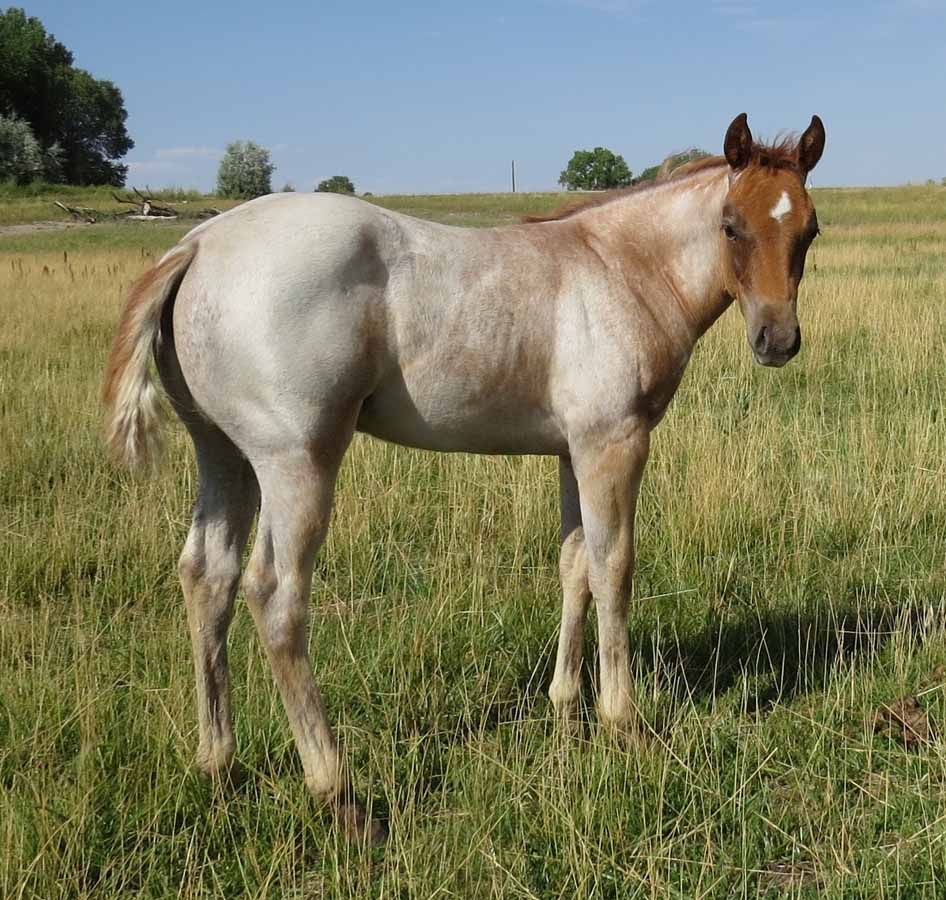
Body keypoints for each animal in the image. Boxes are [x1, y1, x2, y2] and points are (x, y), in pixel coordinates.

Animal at [103, 113, 825, 844]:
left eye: (809, 228)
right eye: (731, 225)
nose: (777, 340)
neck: (620, 268)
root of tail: (198, 244)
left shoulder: (572, 451)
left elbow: (574, 566)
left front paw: (566, 711)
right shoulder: (613, 443)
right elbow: (614, 566)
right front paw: (624, 724)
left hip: (222, 453)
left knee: (207, 576)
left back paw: (217, 766)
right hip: (295, 460)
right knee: (275, 595)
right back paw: (339, 795)